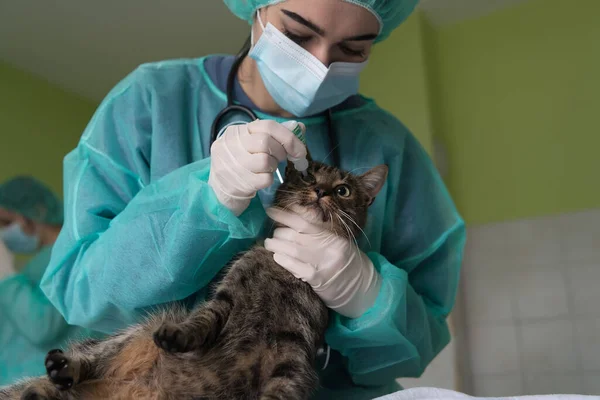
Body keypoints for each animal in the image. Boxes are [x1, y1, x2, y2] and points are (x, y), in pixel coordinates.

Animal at [2, 160, 390, 400]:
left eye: (342, 191)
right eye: (308, 177)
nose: (321, 192)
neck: (281, 269)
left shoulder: (294, 352)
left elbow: (282, 389)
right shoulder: (225, 299)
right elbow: (201, 320)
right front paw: (179, 337)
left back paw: (40, 391)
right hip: (138, 331)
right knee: (90, 358)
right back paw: (59, 371)